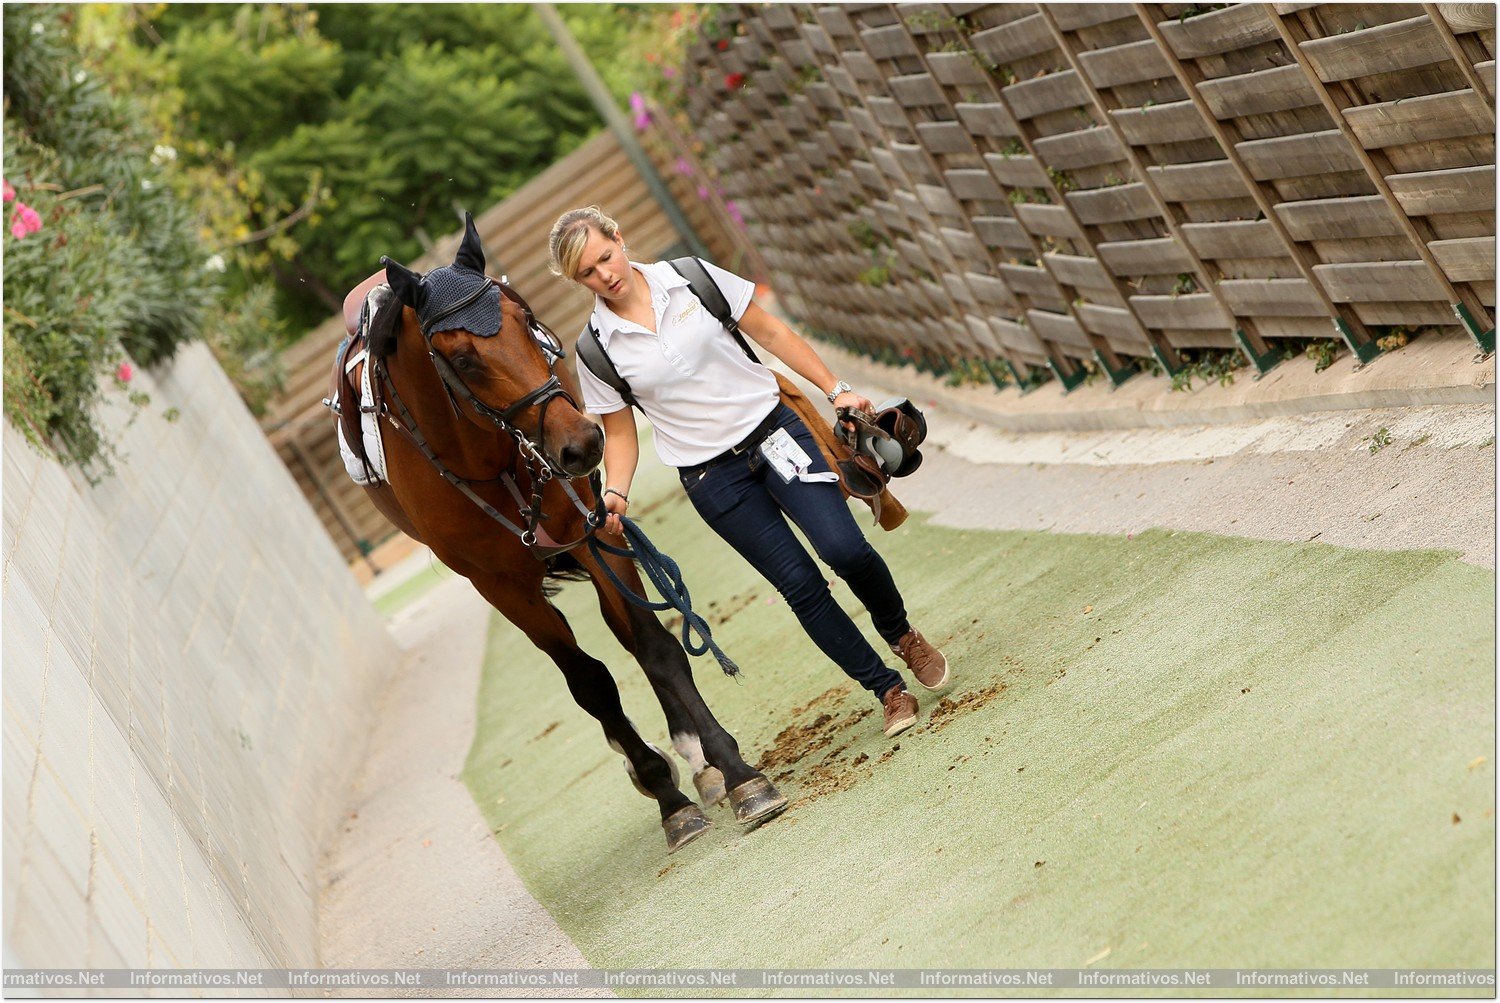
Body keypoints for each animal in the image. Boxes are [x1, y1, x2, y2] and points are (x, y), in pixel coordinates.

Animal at [336, 215, 792, 851]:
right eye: (462, 357)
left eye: (525, 321)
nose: (581, 444)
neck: (486, 456)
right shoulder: (500, 586)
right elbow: (590, 683)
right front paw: (666, 797)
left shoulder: (590, 530)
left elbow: (655, 646)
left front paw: (733, 769)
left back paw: (694, 756)